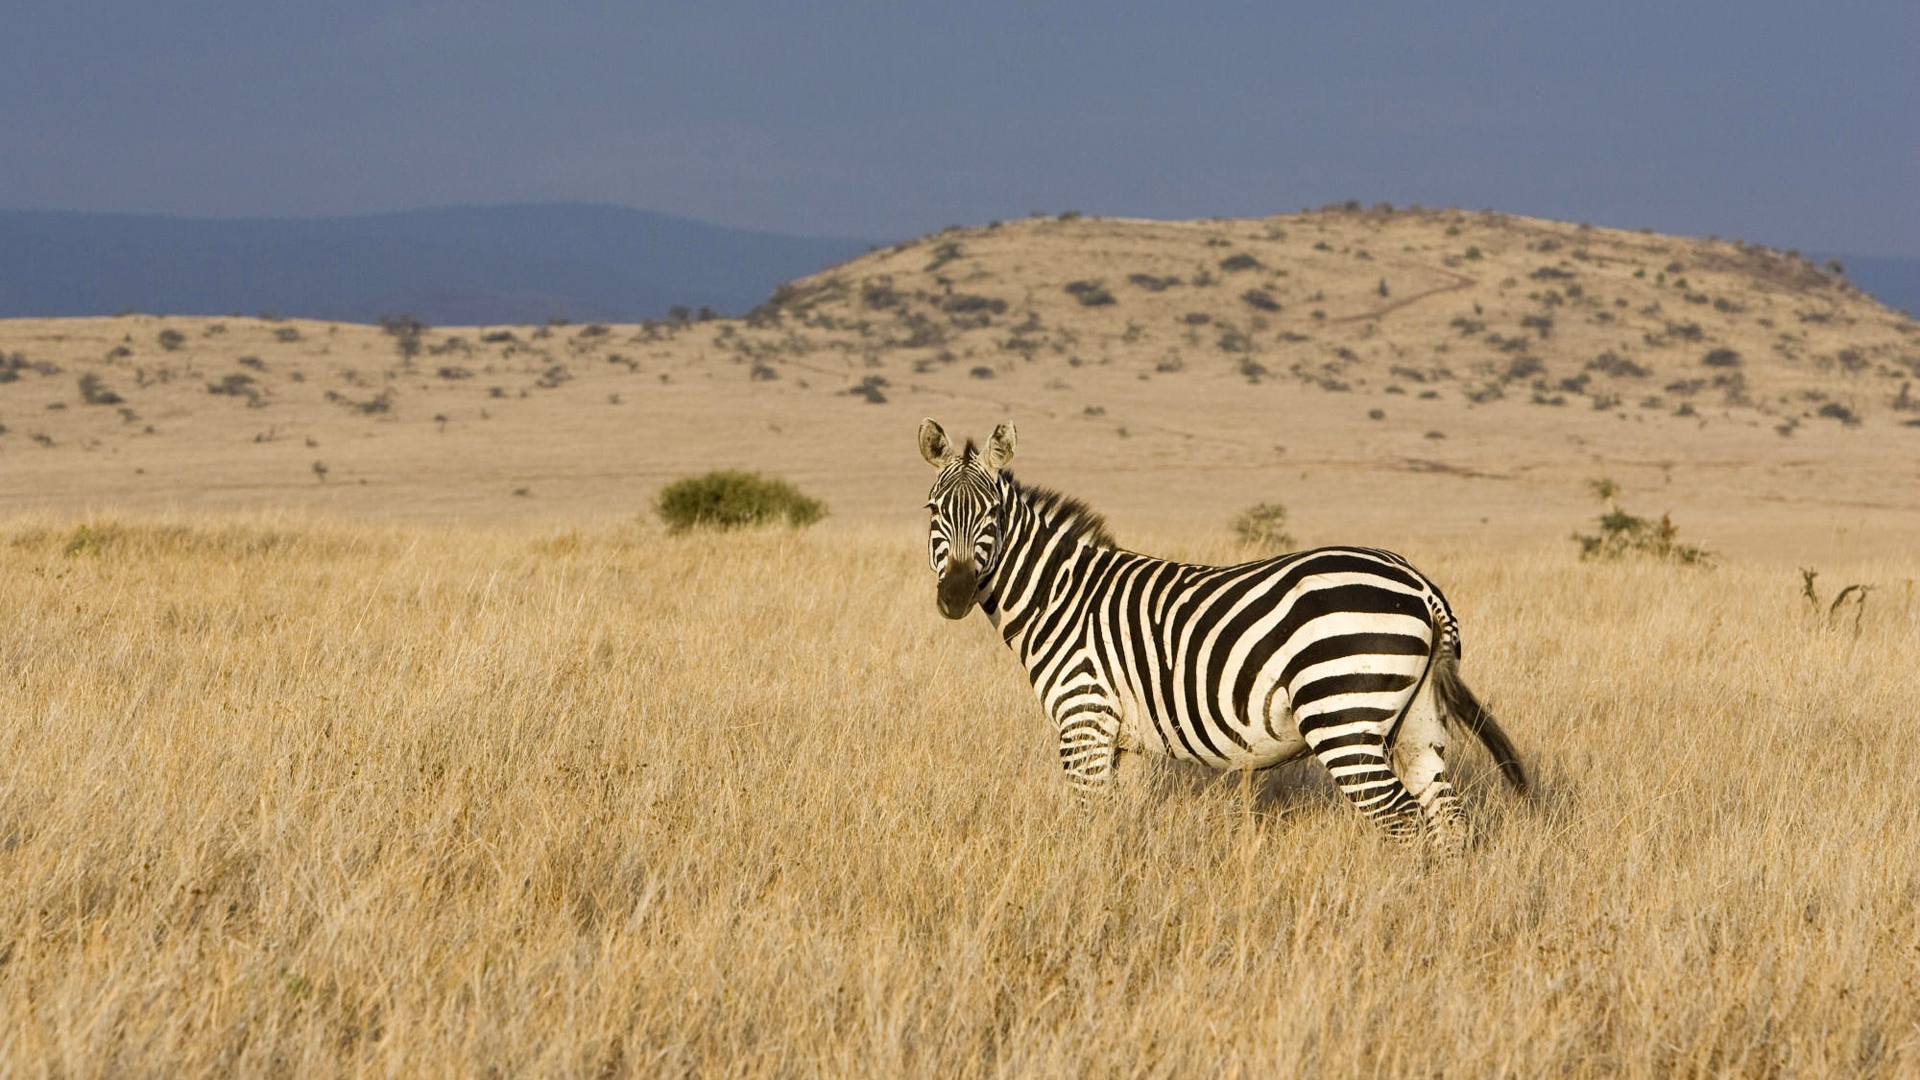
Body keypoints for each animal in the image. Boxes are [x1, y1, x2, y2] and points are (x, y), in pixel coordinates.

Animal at [918, 417, 1528, 847]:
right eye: (932, 510)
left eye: (993, 514)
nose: (955, 596)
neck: (1063, 597)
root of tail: (1419, 584)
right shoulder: (1125, 739)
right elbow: (1118, 823)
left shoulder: (1083, 720)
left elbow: (1088, 822)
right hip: (1417, 720)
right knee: (1446, 817)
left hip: (1343, 714)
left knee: (1400, 818)